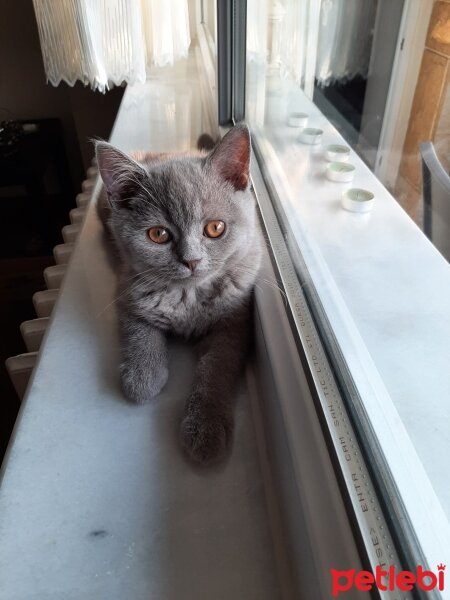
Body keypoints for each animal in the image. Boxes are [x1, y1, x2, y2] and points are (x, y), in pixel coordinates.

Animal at [96, 125, 262, 464]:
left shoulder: (235, 319)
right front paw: (143, 375)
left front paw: (206, 427)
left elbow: (217, 364)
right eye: (158, 234)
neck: (189, 295)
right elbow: (138, 328)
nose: (191, 260)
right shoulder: (127, 285)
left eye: (215, 228)